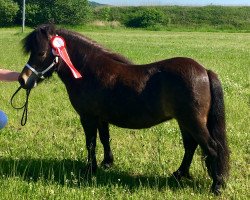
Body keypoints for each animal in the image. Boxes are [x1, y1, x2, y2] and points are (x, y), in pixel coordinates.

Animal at [18, 24, 229, 195]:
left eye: (41, 53)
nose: (23, 79)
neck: (88, 71)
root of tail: (205, 71)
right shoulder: (101, 118)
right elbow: (104, 139)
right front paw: (107, 163)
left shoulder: (88, 117)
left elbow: (91, 143)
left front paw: (90, 170)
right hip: (184, 121)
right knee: (191, 146)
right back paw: (179, 174)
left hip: (192, 121)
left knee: (212, 148)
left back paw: (217, 185)